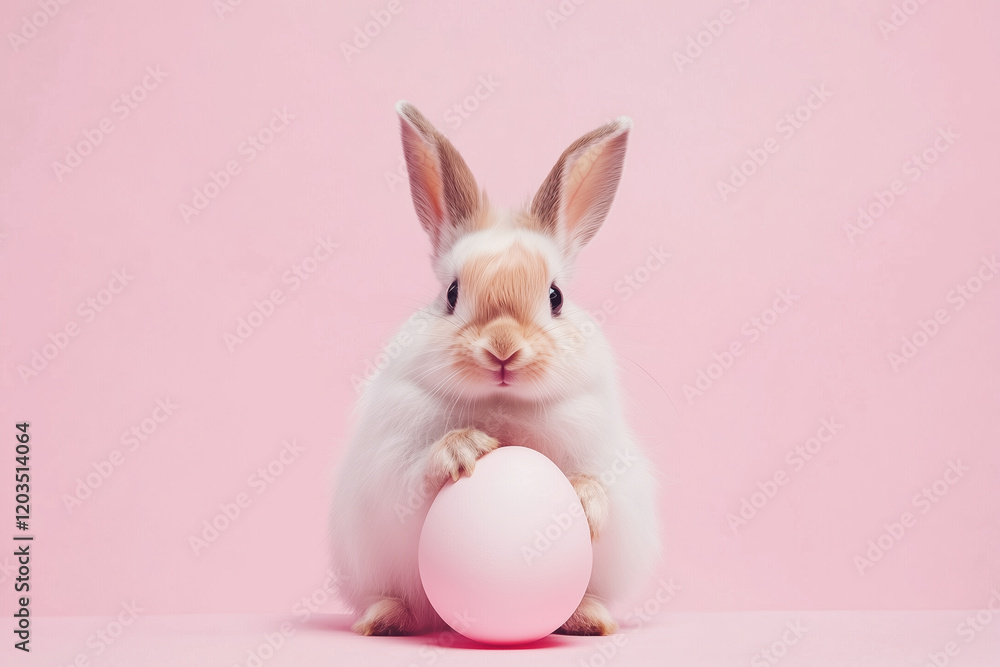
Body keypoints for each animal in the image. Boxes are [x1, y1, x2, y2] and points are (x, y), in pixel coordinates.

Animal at [329, 101, 661, 637]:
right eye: (451, 293)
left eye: (555, 297)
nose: (503, 349)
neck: (502, 406)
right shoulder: (390, 461)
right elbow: (414, 474)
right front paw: (463, 449)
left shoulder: (612, 461)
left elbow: (604, 489)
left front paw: (583, 497)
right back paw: (384, 619)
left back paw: (589, 618)